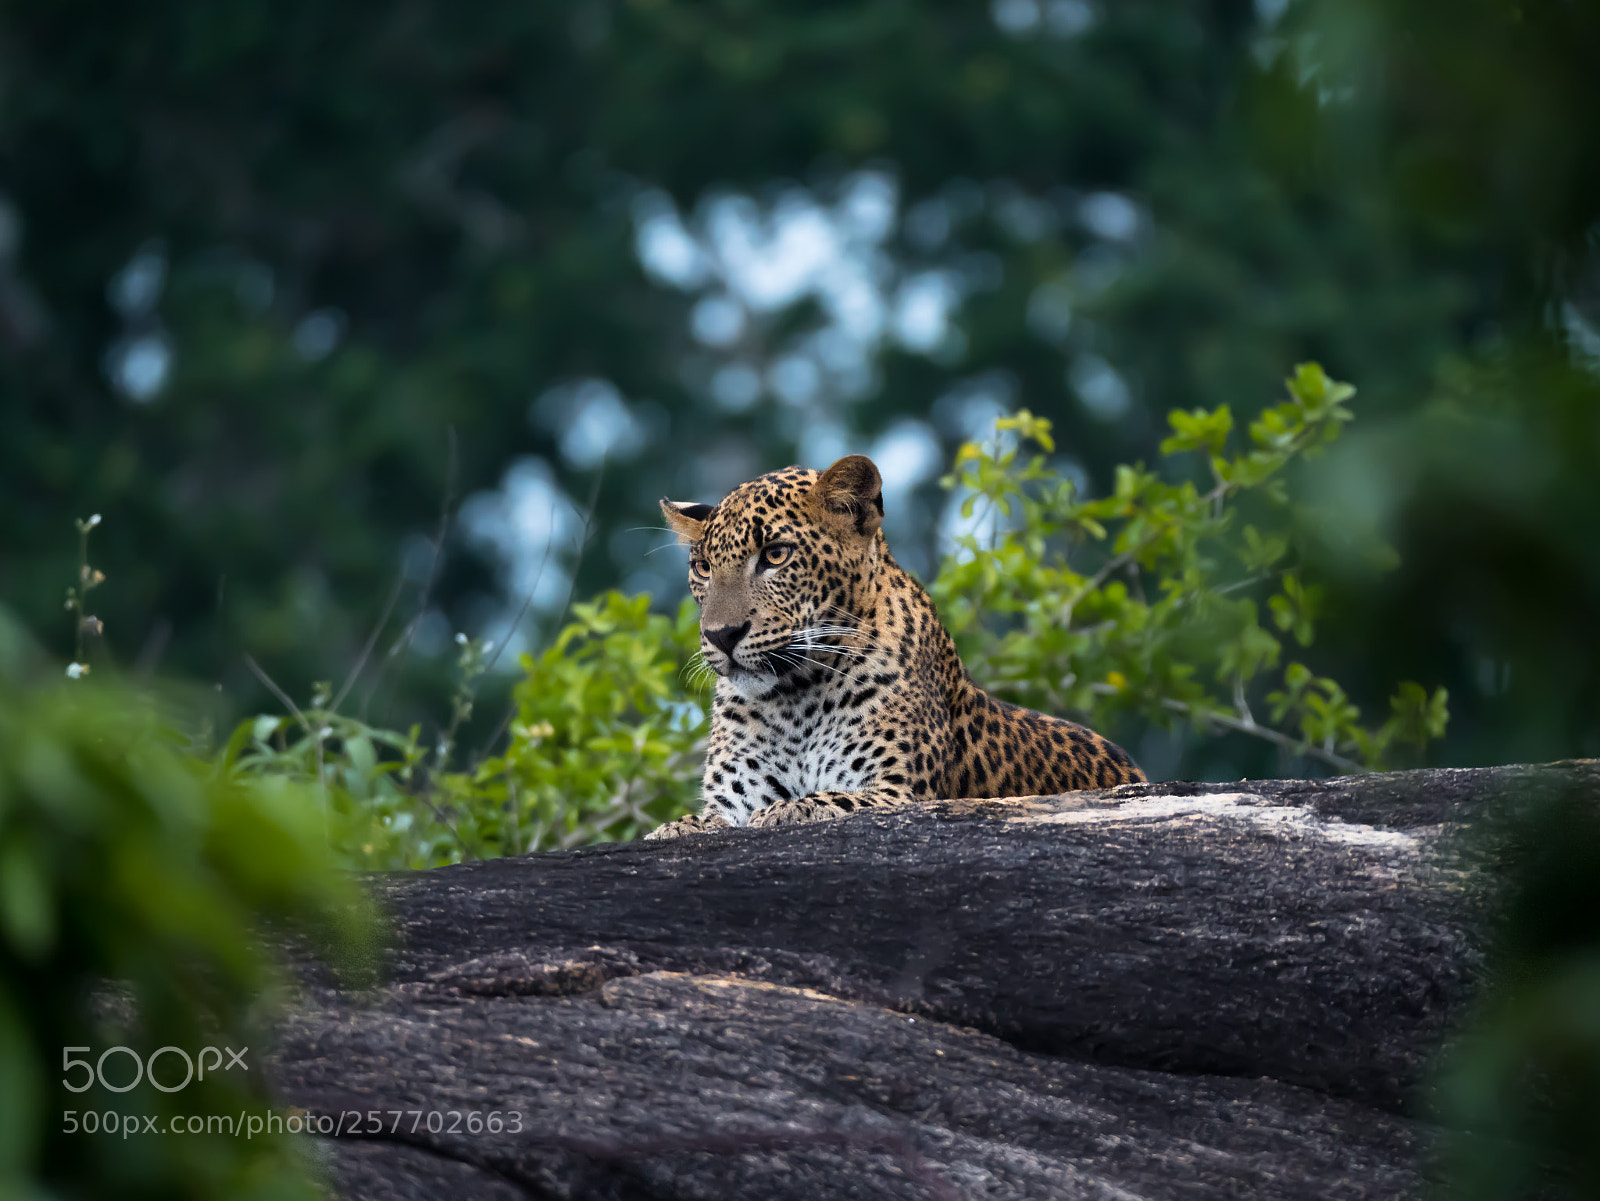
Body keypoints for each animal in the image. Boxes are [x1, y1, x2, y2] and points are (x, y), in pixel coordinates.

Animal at [643, 453, 1146, 840]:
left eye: (776, 555)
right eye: (703, 567)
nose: (721, 635)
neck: (793, 698)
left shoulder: (898, 792)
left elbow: (831, 801)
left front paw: (789, 809)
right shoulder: (734, 799)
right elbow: (709, 820)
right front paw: (676, 827)